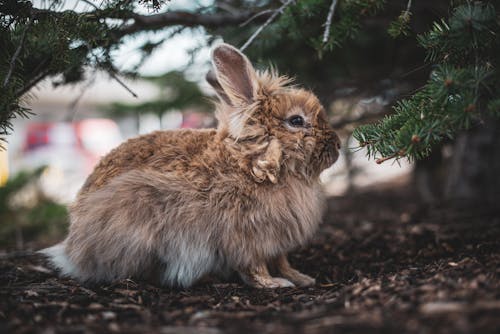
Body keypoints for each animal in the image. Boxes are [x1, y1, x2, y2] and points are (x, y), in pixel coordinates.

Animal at [41, 43, 342, 288]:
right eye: (296, 121)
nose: (338, 146)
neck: (251, 162)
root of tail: (73, 250)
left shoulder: (277, 244)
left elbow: (283, 262)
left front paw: (301, 278)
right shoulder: (247, 239)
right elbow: (255, 268)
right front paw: (276, 284)